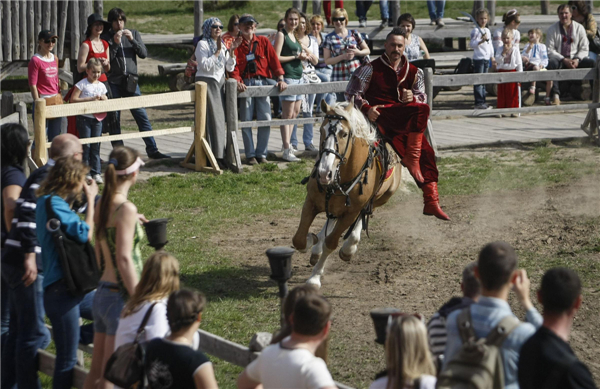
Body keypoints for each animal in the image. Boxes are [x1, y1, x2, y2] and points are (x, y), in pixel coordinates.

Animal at [292, 99, 400, 288]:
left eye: (344, 134)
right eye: (321, 130)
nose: (323, 173)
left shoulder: (351, 212)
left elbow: (331, 243)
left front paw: (314, 278)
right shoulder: (311, 202)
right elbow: (299, 239)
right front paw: (312, 240)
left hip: (381, 198)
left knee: (364, 214)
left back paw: (349, 248)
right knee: (332, 219)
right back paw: (317, 247)